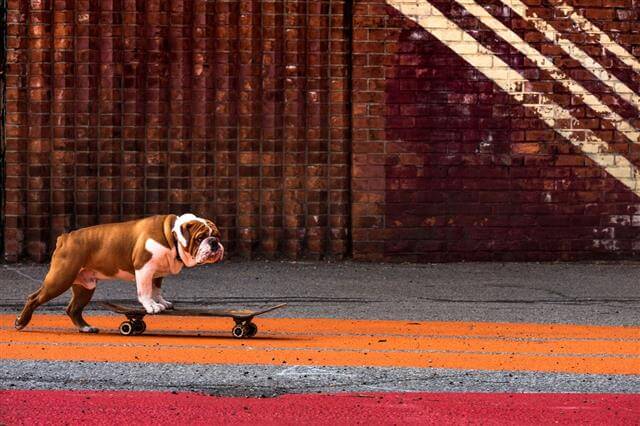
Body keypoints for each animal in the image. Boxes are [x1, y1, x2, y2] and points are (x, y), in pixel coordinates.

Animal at [15, 213, 225, 332]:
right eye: (200, 238)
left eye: (217, 235)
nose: (214, 243)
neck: (171, 236)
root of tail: (65, 237)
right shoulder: (144, 269)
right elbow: (145, 291)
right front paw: (151, 306)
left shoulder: (157, 274)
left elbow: (157, 289)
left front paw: (161, 302)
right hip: (60, 279)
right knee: (34, 298)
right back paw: (21, 322)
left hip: (85, 286)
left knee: (73, 309)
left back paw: (86, 327)